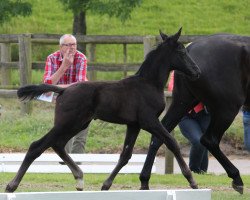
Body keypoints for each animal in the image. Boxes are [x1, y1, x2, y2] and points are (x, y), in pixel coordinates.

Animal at [5, 28, 201, 192]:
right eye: (182, 52)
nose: (197, 71)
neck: (148, 83)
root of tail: (63, 90)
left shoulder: (134, 125)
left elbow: (125, 155)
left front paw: (106, 185)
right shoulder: (149, 121)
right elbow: (171, 142)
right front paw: (192, 180)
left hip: (79, 124)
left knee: (58, 144)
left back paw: (79, 178)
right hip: (67, 122)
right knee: (37, 146)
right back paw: (12, 185)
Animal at [139, 33, 250, 194]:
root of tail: (191, 47)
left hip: (183, 102)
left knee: (159, 136)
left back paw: (144, 180)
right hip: (227, 109)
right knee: (209, 140)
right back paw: (236, 178)